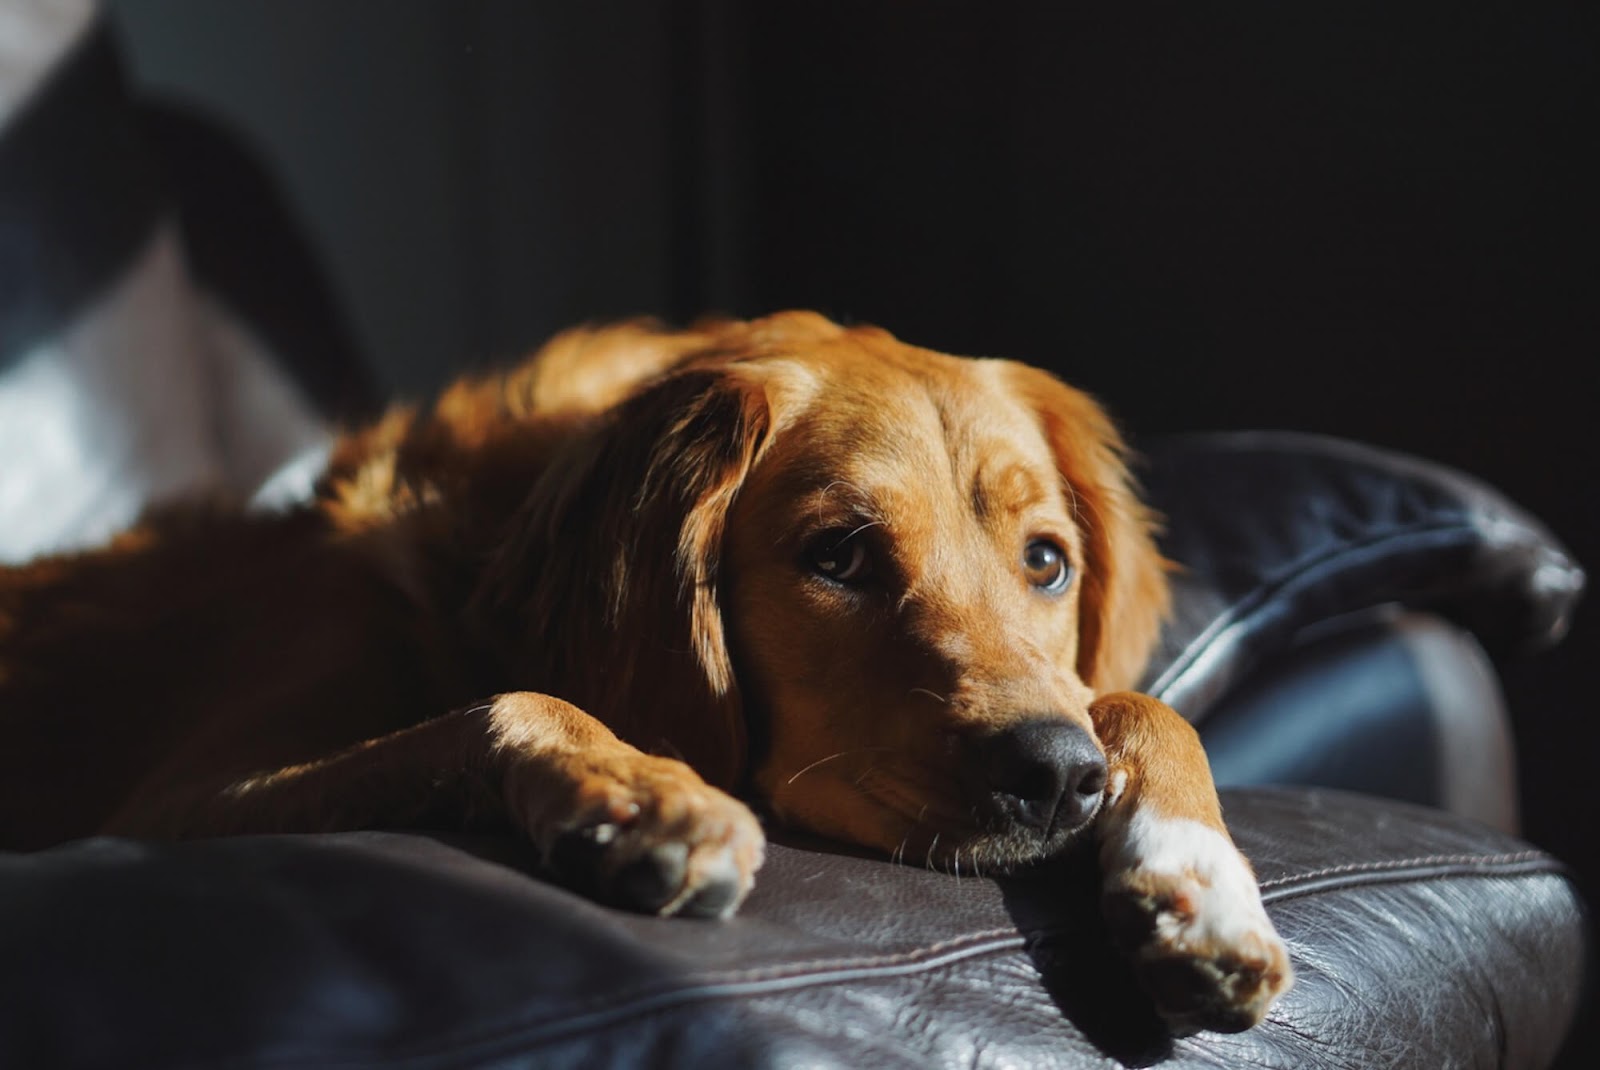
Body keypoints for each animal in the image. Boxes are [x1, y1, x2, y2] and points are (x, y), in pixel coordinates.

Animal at [0, 313, 1292, 1030]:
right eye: (838, 555)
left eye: (1046, 561)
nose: (1057, 777)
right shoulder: (182, 797)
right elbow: (511, 697)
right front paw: (645, 792)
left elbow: (1138, 703)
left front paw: (1200, 886)